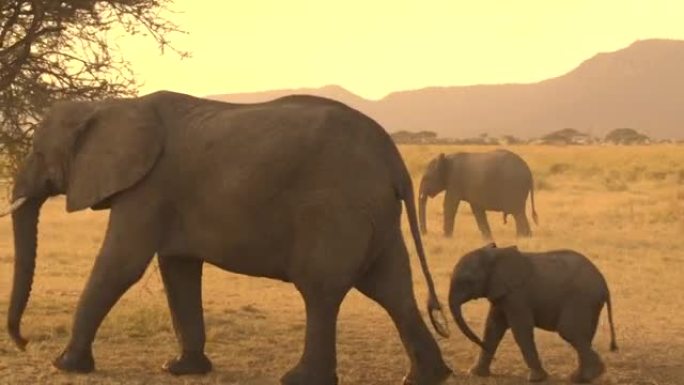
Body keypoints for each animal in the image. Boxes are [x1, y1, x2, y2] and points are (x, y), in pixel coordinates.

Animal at [5, 91, 456, 384]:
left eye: (38, 153)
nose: (23, 341)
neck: (110, 106)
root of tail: (393, 159)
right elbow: (177, 269)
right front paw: (181, 370)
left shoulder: (148, 190)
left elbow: (121, 265)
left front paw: (64, 365)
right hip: (376, 214)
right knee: (391, 289)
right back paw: (428, 376)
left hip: (336, 209)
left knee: (321, 290)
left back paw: (299, 379)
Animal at [446, 243, 616, 380]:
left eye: (467, 281)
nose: (482, 345)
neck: (496, 255)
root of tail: (604, 285)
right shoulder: (501, 292)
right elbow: (493, 327)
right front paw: (475, 373)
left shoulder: (517, 295)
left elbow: (520, 330)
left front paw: (536, 379)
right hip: (589, 303)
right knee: (583, 335)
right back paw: (583, 377)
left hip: (581, 299)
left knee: (569, 331)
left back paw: (588, 375)